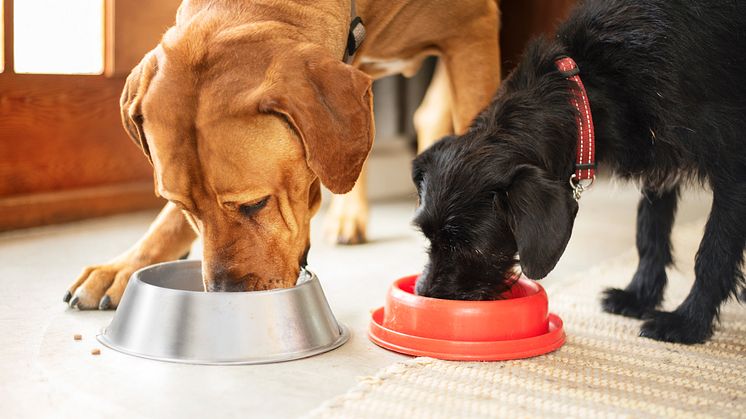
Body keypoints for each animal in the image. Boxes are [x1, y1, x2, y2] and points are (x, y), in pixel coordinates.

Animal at [412, 0, 744, 342]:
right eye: (427, 236)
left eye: (471, 247)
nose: (426, 295)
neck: (594, 82)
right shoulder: (659, 159)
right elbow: (650, 229)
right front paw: (639, 296)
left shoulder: (733, 167)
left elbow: (713, 253)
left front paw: (687, 322)